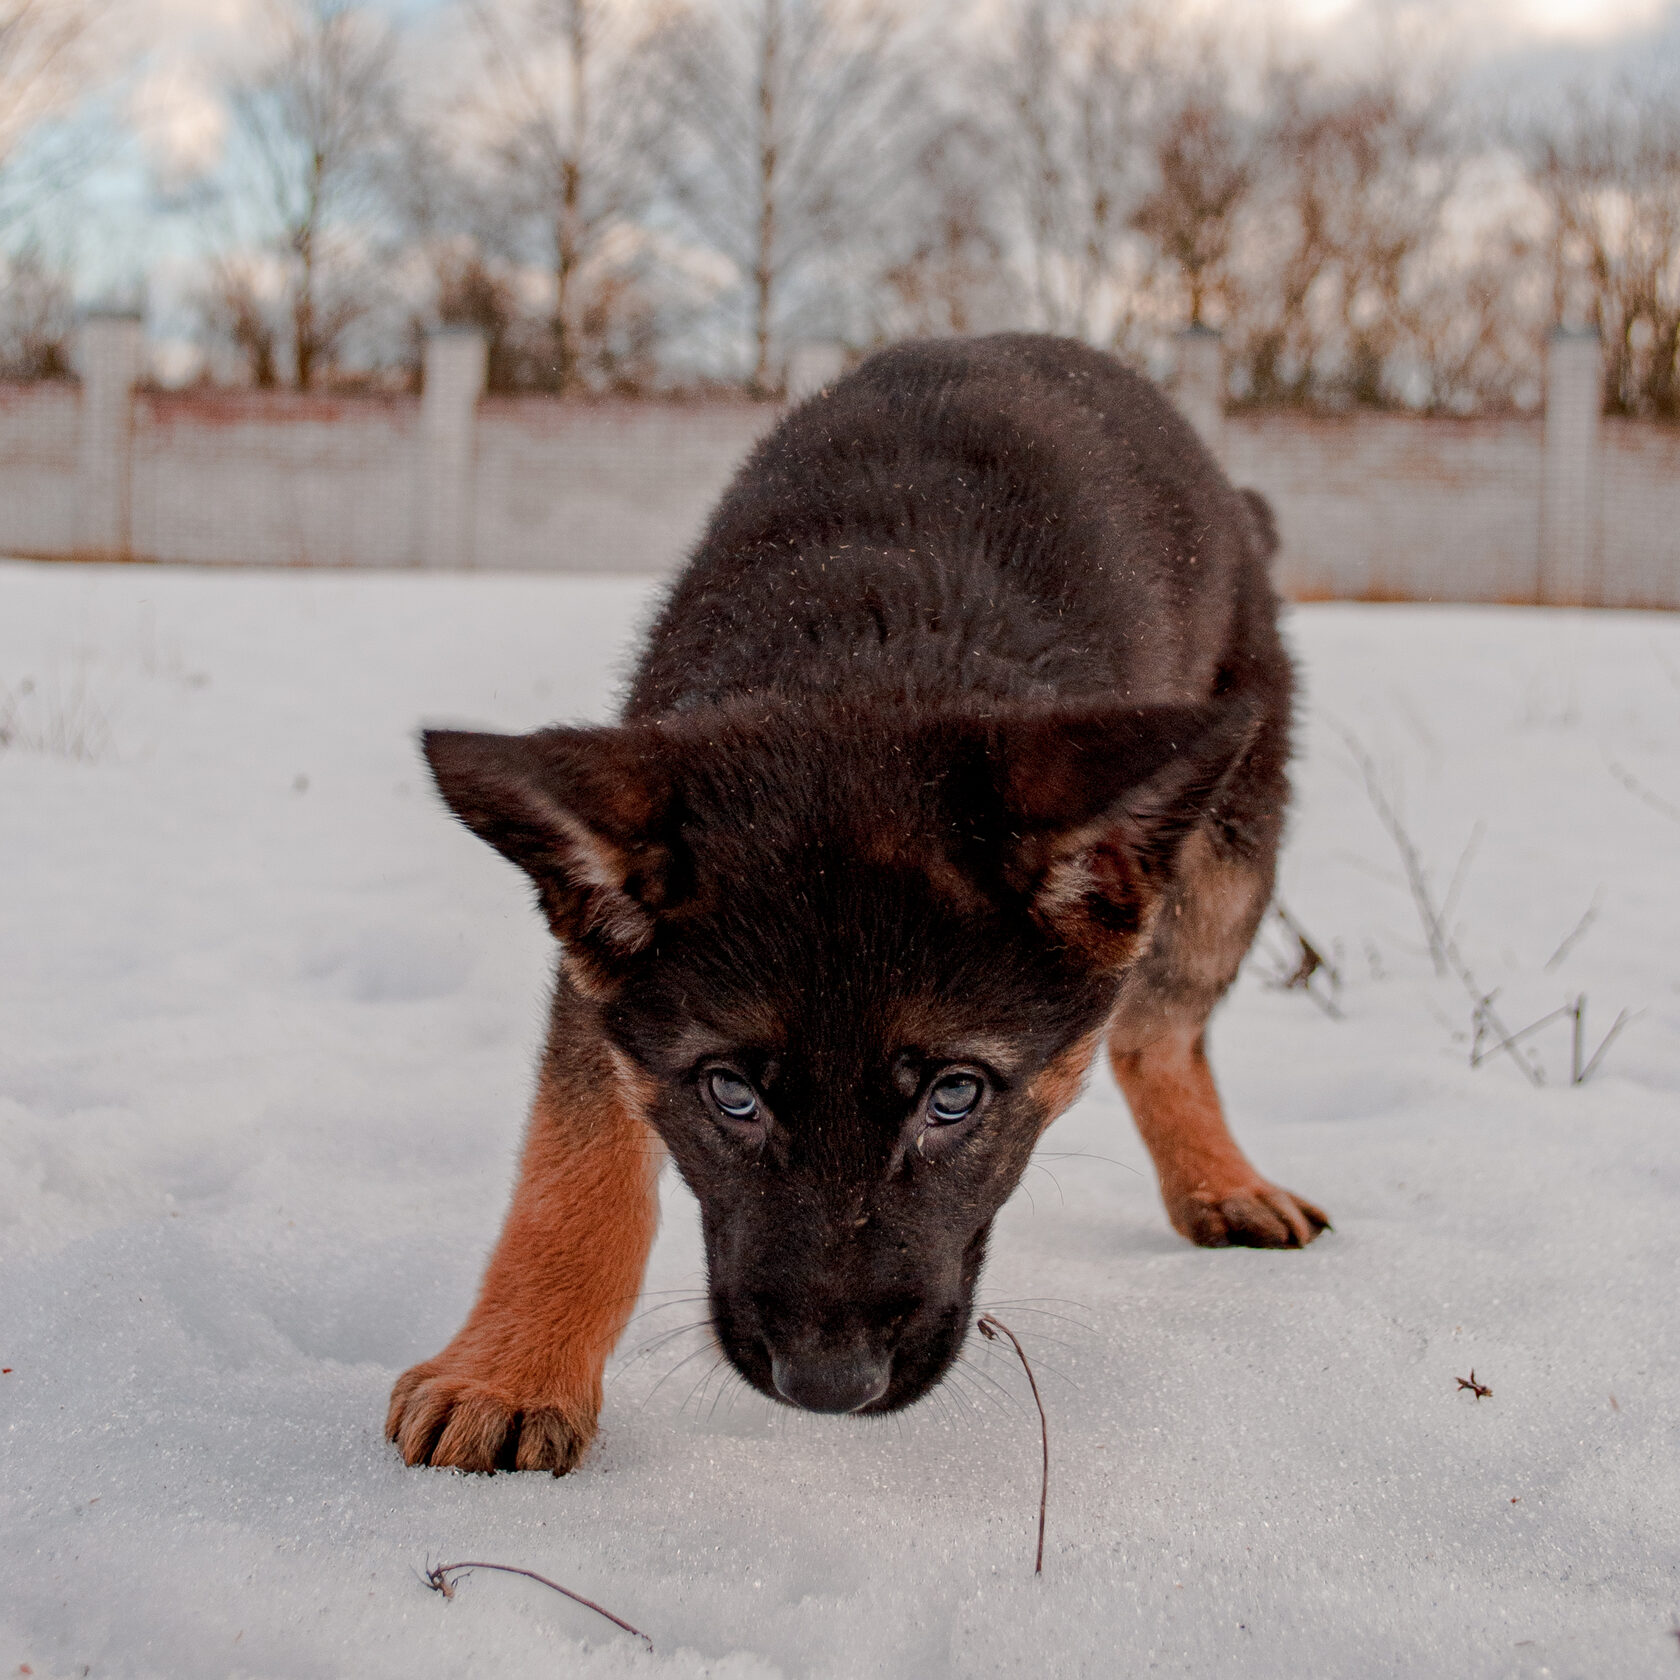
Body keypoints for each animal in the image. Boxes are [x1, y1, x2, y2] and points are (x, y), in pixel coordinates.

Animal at [384, 330, 1323, 1471]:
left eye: (954, 1097)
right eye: (729, 1095)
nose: (828, 1388)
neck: (871, 665)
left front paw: (514, 1369)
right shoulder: (601, 985)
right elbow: (579, 1167)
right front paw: (514, 1371)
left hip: (1227, 855)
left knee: (1162, 1026)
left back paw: (1218, 1179)